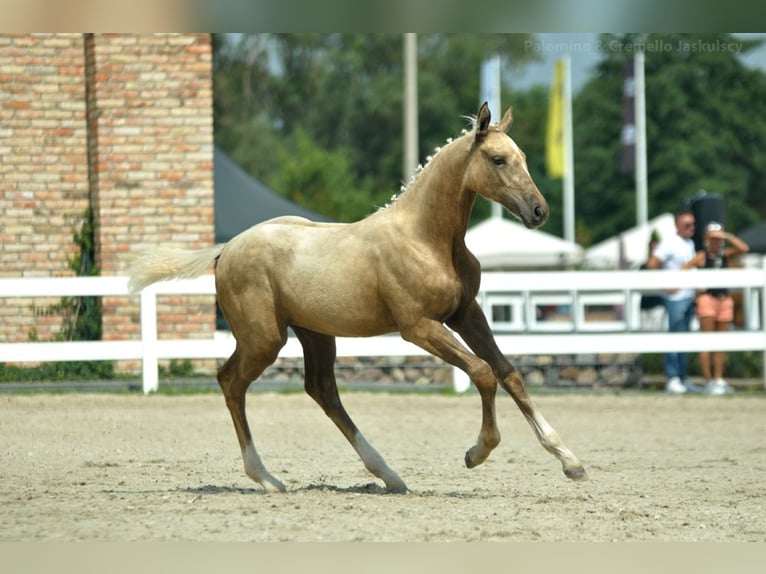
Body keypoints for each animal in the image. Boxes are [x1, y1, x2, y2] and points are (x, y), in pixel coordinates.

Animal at [130, 103, 588, 496]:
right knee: (231, 382)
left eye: (522, 156)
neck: (427, 239)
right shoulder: (418, 327)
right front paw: (477, 453)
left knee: (321, 391)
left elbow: (509, 373)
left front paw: (570, 461)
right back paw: (267, 478)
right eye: (497, 160)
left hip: (314, 334)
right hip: (264, 338)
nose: (539, 211)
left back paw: (389, 475)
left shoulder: (466, 314)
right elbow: (482, 372)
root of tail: (227, 248)